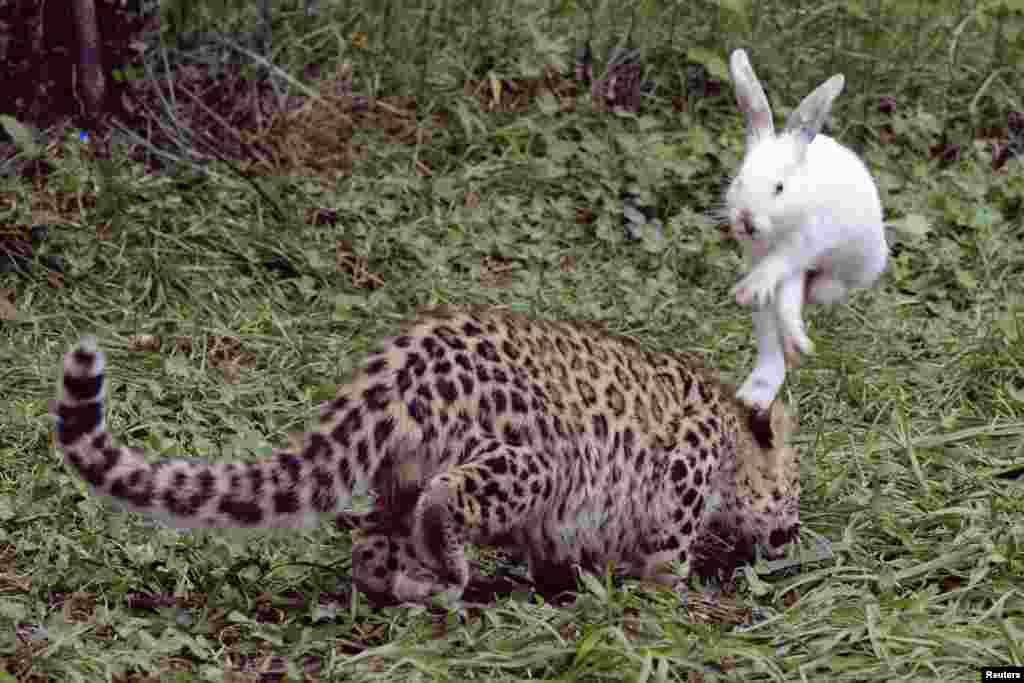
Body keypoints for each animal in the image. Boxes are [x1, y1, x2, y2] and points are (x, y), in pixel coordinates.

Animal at [51, 307, 798, 606]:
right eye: (794, 487)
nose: (793, 532)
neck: (731, 434)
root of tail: (398, 363)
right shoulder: (681, 477)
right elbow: (667, 552)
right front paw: (675, 597)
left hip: (396, 478)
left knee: (374, 544)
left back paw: (416, 584)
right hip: (538, 458)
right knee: (448, 496)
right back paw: (450, 567)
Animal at [729, 50, 888, 411]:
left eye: (779, 188)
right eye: (739, 180)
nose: (746, 219)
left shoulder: (802, 244)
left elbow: (780, 265)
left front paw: (748, 290)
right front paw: (750, 294)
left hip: (857, 264)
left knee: (825, 289)